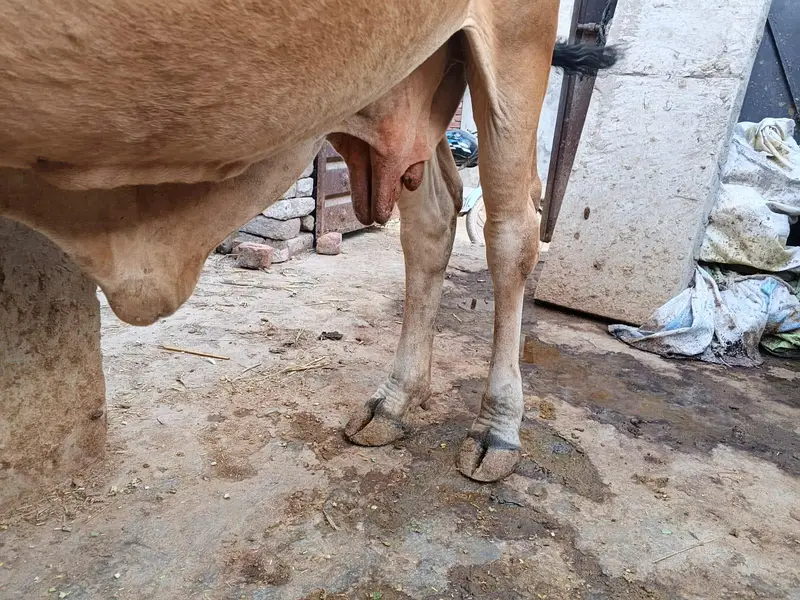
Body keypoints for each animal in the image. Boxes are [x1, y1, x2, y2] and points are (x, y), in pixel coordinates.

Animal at [0, 0, 617, 482]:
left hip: (515, 46)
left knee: (511, 233)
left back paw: (497, 429)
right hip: (411, 73)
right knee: (433, 222)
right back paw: (394, 402)